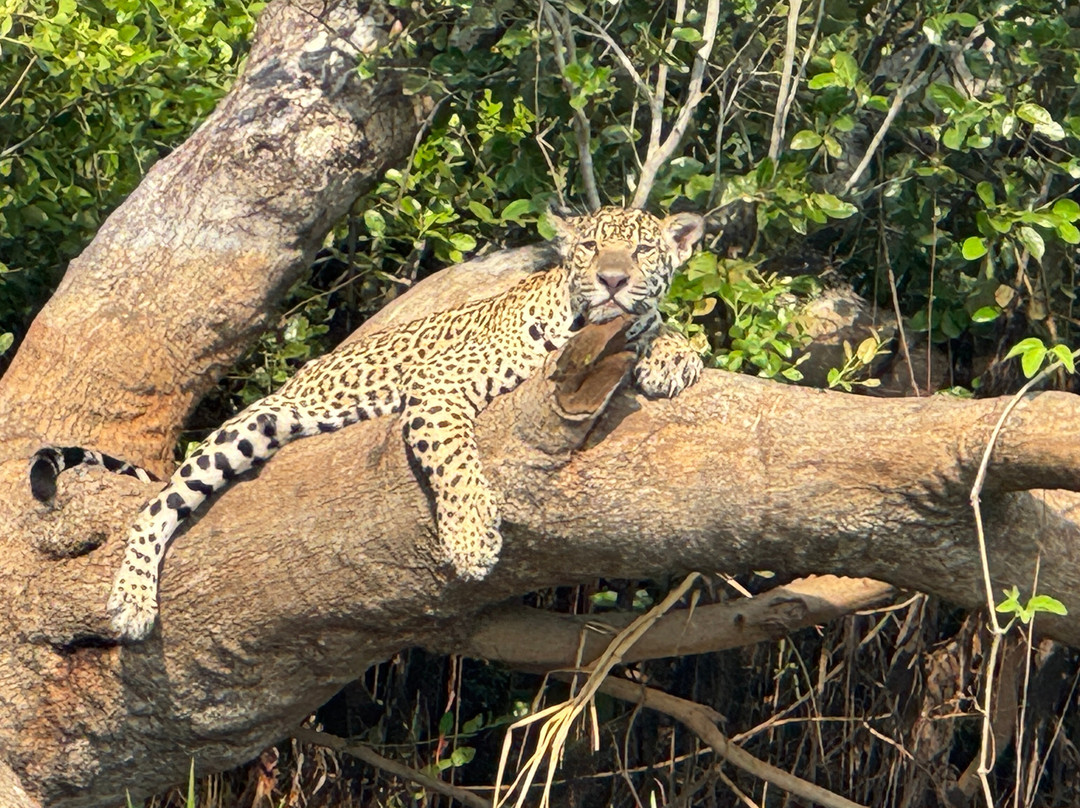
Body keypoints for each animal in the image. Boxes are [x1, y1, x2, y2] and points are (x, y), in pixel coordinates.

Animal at [30, 206, 705, 642]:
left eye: (643, 251)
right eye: (590, 248)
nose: (612, 279)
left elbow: (658, 326)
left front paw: (672, 353)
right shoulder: (437, 385)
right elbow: (458, 467)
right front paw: (470, 541)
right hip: (246, 428)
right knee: (153, 510)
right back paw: (131, 602)